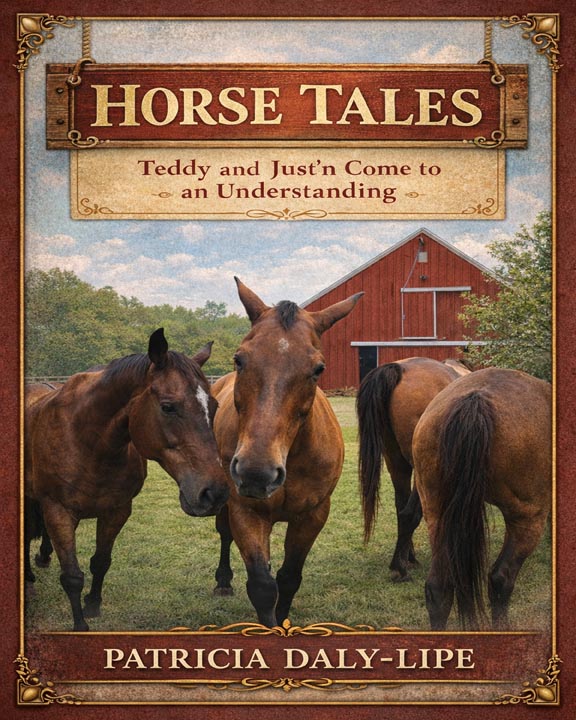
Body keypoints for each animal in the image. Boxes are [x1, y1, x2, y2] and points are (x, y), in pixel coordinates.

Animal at [25, 328, 229, 631]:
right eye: (168, 407)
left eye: (214, 406)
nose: (214, 493)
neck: (89, 443)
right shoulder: (58, 511)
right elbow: (72, 575)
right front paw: (80, 625)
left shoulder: (116, 510)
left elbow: (101, 561)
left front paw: (92, 604)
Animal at [211, 278, 363, 626]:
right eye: (239, 359)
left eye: (318, 369)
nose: (256, 473)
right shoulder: (246, 510)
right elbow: (263, 585)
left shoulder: (313, 515)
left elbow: (288, 578)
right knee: (223, 533)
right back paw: (223, 580)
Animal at [356, 357, 470, 581]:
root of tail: (401, 370)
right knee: (409, 513)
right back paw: (399, 566)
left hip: (396, 463)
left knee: (402, 509)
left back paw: (407, 557)